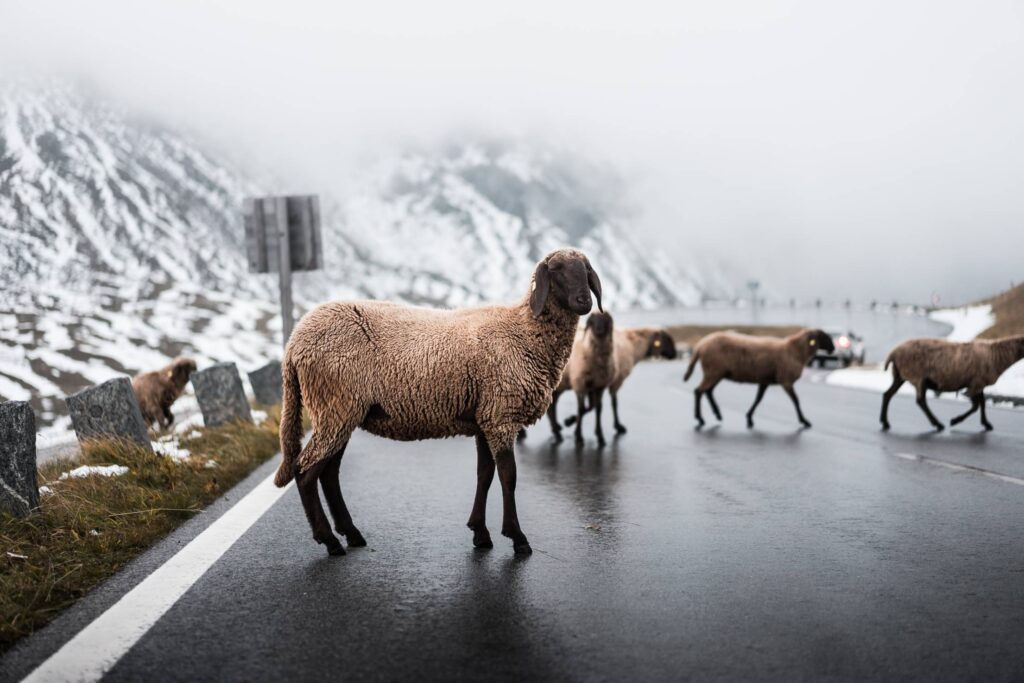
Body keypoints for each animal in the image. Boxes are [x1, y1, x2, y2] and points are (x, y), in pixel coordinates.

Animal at [276, 248, 602, 557]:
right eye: (556, 269)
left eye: (586, 269)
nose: (584, 300)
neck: (524, 331)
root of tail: (294, 343)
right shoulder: (501, 416)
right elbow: (508, 477)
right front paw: (517, 538)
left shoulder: (485, 417)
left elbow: (484, 475)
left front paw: (480, 533)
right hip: (335, 406)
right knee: (305, 472)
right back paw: (329, 541)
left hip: (341, 412)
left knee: (329, 474)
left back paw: (351, 534)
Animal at [679, 327, 831, 428]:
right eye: (824, 336)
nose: (833, 349)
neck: (795, 351)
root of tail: (700, 345)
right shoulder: (786, 381)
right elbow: (796, 401)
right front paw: (805, 421)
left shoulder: (765, 381)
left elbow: (758, 399)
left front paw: (749, 418)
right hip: (713, 371)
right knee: (699, 391)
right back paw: (700, 418)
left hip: (716, 373)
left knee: (708, 391)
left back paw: (717, 414)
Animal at [880, 333, 1024, 430]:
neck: (998, 356)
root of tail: (893, 353)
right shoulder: (975, 383)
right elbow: (976, 406)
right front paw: (955, 420)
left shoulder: (978, 384)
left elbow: (982, 404)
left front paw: (986, 424)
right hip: (918, 377)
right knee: (920, 401)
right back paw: (937, 424)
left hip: (900, 376)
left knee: (888, 394)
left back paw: (885, 422)